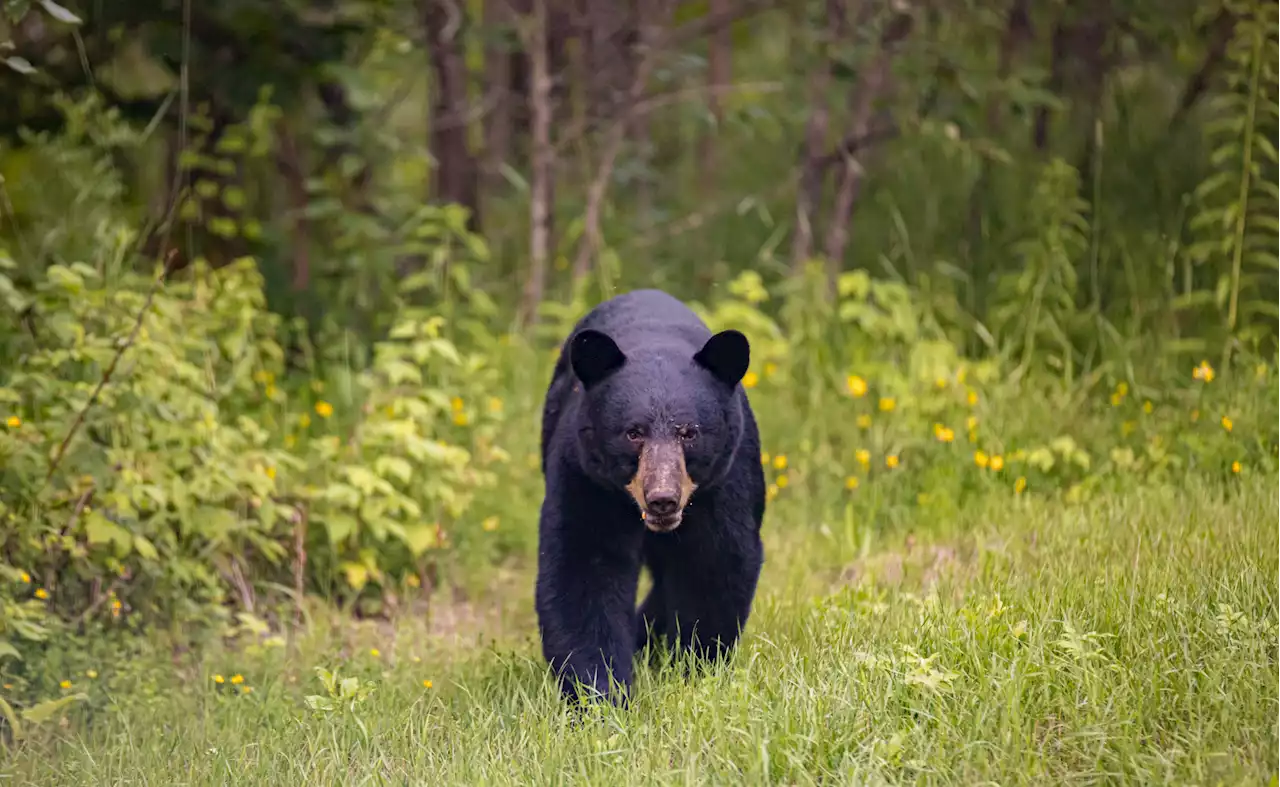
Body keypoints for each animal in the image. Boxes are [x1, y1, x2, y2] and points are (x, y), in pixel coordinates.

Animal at [535, 287, 762, 701]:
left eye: (689, 432)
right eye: (633, 432)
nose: (662, 499)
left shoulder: (724, 481)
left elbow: (715, 560)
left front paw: (696, 666)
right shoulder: (587, 476)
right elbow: (583, 568)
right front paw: (599, 693)